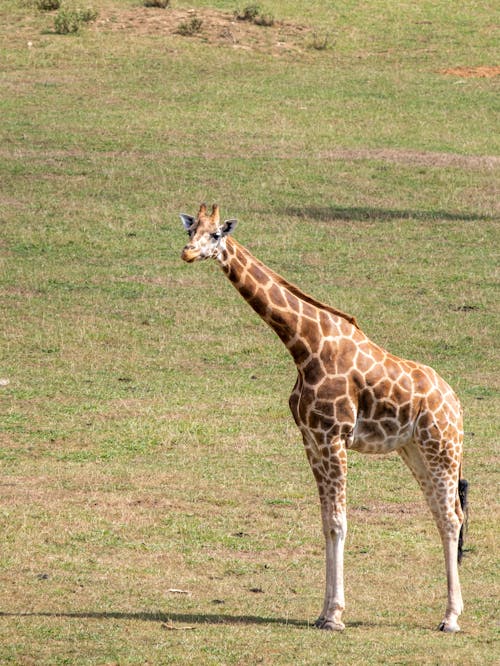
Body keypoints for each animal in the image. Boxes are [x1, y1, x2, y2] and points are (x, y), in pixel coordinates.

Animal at [180, 204, 468, 632]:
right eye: (191, 230)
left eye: (216, 234)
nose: (188, 253)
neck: (303, 346)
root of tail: (456, 401)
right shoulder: (311, 438)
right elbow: (325, 523)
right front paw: (323, 611)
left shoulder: (334, 436)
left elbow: (339, 521)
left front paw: (335, 616)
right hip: (414, 450)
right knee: (441, 512)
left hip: (442, 446)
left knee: (451, 516)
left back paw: (450, 618)